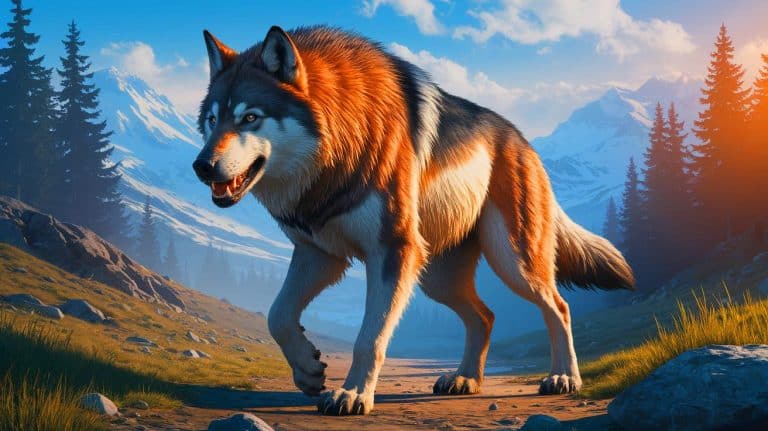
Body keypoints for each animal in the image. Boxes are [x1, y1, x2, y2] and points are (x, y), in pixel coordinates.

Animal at [192, 25, 634, 416]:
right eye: (213, 120)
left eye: (250, 118)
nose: (201, 166)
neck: (338, 147)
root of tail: (523, 141)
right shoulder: (319, 254)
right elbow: (277, 316)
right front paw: (308, 370)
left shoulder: (392, 251)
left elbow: (369, 338)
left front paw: (353, 395)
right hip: (435, 277)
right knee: (486, 316)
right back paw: (465, 379)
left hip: (512, 262)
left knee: (559, 306)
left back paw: (563, 378)